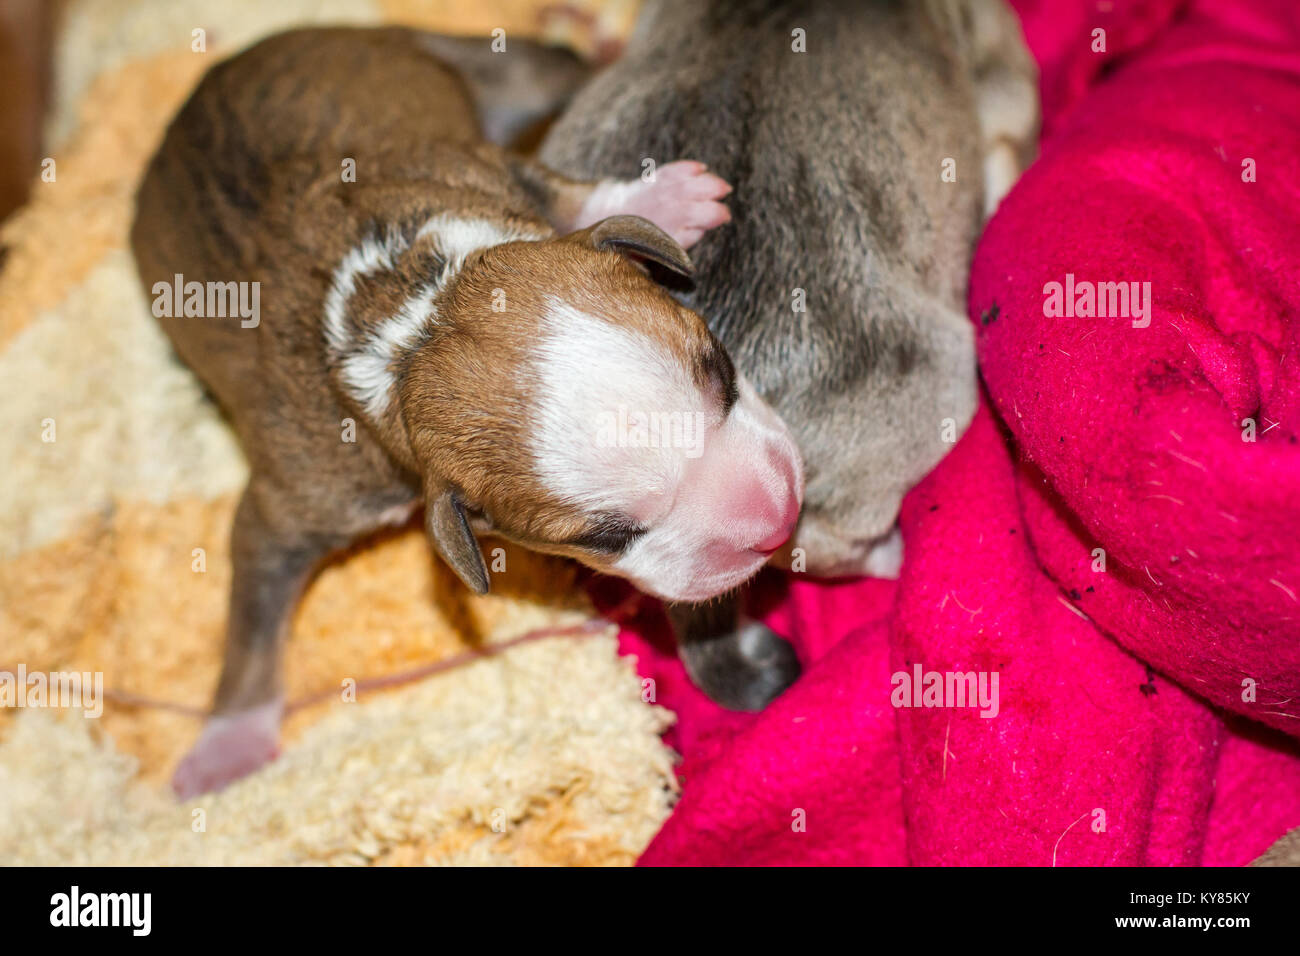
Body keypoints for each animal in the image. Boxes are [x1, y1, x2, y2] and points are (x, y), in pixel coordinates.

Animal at [131, 26, 800, 796]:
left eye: (720, 366)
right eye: (607, 537)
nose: (779, 517)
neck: (410, 313)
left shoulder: (471, 165)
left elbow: (560, 190)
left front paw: (668, 195)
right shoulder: (294, 504)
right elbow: (252, 621)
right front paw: (226, 743)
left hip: (478, 67)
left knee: (550, 68)